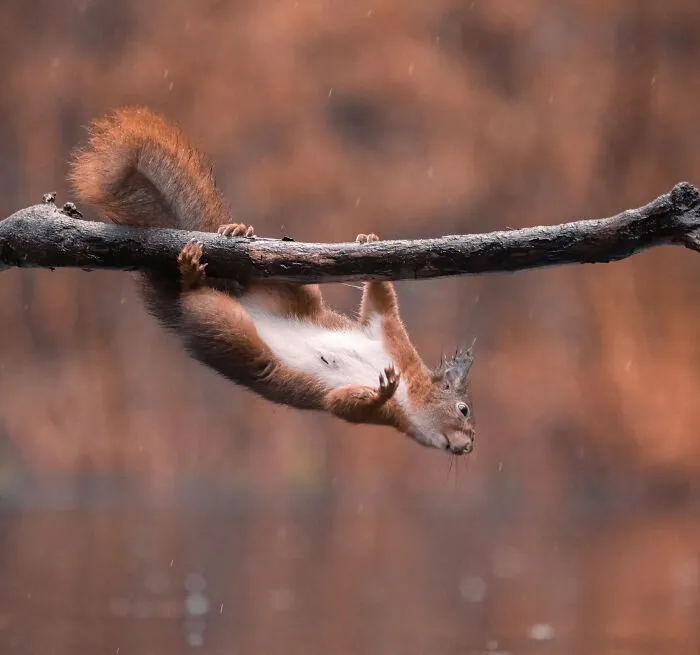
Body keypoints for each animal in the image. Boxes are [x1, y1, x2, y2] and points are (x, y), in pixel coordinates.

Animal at [69, 107, 476, 456]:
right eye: (464, 409)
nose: (470, 446)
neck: (411, 389)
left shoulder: (377, 405)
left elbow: (342, 404)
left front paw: (381, 389)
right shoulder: (393, 340)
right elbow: (381, 306)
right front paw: (370, 242)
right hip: (247, 314)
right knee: (205, 296)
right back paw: (217, 252)